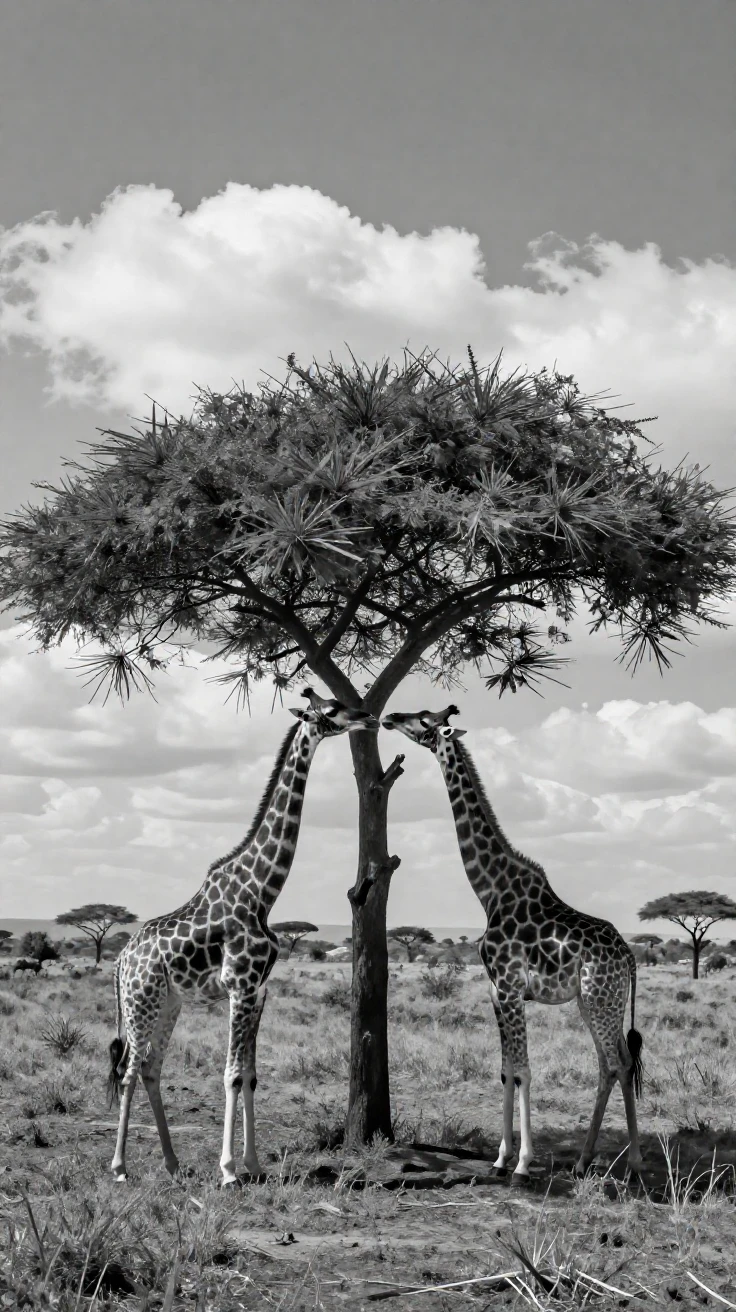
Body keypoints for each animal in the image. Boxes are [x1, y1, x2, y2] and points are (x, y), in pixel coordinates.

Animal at [108, 689, 376, 1186]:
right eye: (331, 709)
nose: (368, 716)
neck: (263, 892)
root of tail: (120, 960)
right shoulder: (239, 986)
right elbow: (232, 1073)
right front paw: (230, 1169)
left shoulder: (260, 991)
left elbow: (251, 1075)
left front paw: (253, 1163)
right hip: (141, 1002)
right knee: (129, 1070)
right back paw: (119, 1166)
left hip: (170, 1002)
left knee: (151, 1067)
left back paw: (172, 1164)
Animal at [382, 705, 643, 1183]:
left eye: (425, 720)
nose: (390, 716)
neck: (489, 890)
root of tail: (630, 956)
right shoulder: (495, 989)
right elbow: (505, 1070)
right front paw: (501, 1158)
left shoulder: (508, 986)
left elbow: (522, 1070)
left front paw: (522, 1162)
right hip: (594, 1001)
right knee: (612, 1063)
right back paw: (585, 1161)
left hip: (601, 998)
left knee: (617, 1064)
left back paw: (628, 1163)